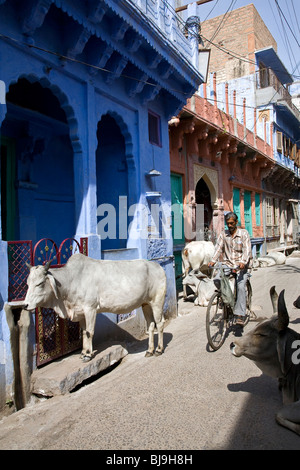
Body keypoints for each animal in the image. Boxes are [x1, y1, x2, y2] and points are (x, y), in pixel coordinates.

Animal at [24, 253, 166, 360]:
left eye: (40, 283)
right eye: (27, 283)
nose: (25, 305)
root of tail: (157, 266)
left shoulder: (90, 309)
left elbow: (89, 332)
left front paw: (88, 354)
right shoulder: (80, 312)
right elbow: (83, 332)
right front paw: (83, 352)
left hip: (157, 301)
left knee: (160, 323)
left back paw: (159, 349)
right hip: (146, 304)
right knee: (151, 325)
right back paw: (149, 350)